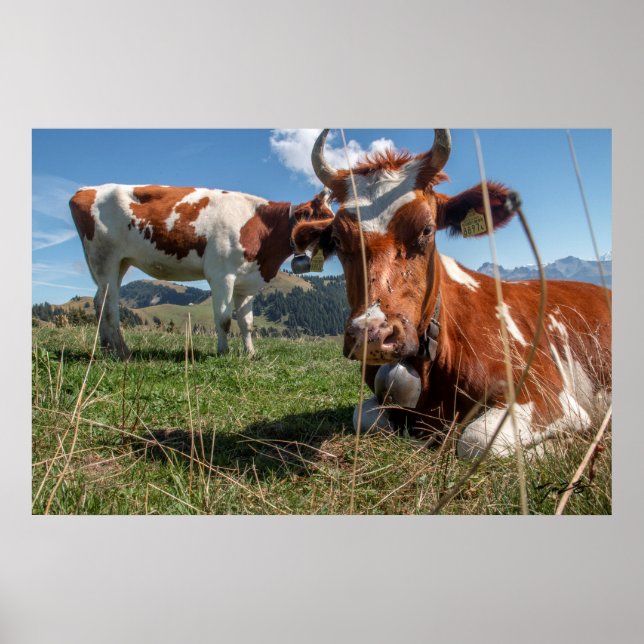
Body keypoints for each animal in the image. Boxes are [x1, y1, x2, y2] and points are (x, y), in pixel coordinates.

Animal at [70, 184, 333, 359]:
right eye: (324, 221)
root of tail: (85, 190)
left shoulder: (247, 281)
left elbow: (247, 322)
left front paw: (250, 353)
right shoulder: (221, 276)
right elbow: (224, 319)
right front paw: (223, 352)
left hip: (120, 262)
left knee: (99, 301)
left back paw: (106, 348)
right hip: (105, 259)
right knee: (109, 306)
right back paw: (122, 352)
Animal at [291, 129, 611, 458]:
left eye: (427, 229)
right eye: (337, 240)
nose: (373, 335)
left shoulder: (546, 392)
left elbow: (476, 440)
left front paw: (563, 445)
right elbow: (364, 417)